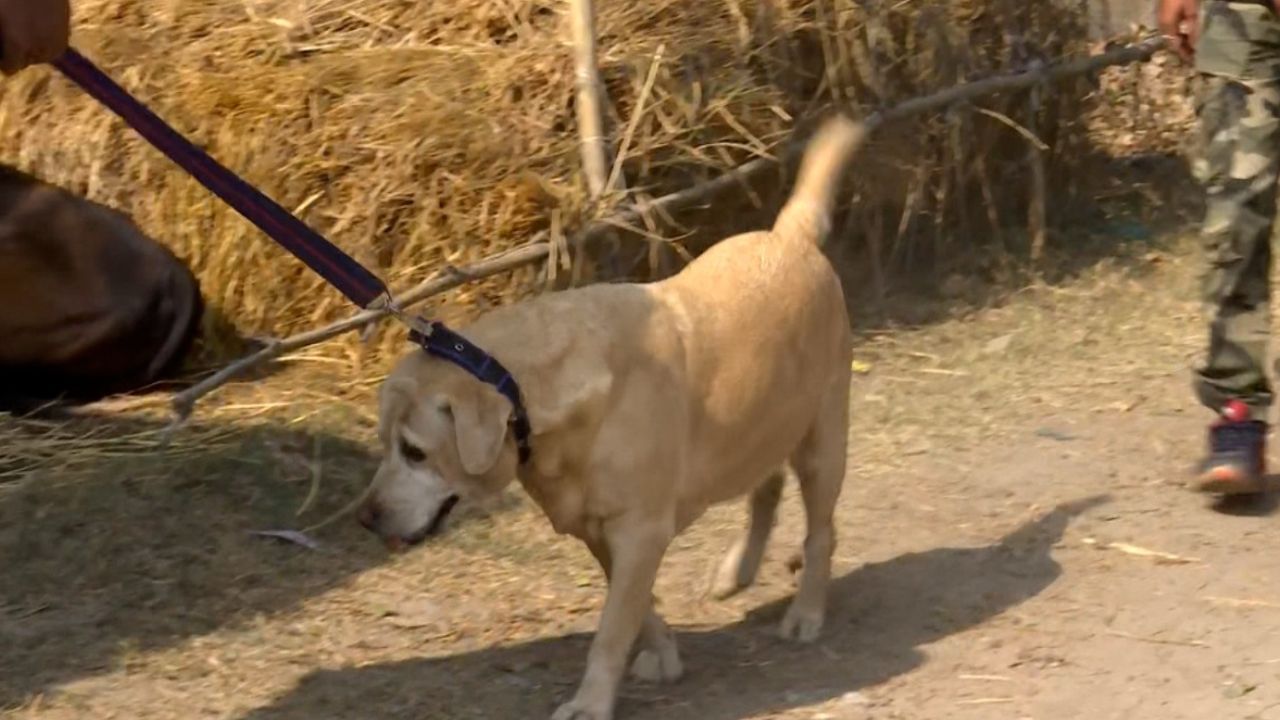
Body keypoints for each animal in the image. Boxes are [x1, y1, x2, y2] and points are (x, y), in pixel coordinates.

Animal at [355, 113, 865, 717]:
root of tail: (791, 236)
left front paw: (591, 702)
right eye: (384, 444)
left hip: (822, 440)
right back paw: (737, 570)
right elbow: (636, 611)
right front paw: (663, 654)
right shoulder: (597, 530)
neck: (535, 397)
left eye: (414, 451)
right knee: (766, 489)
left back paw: (806, 613)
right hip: (763, 421)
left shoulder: (640, 530)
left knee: (821, 532)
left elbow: (611, 627)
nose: (365, 517)